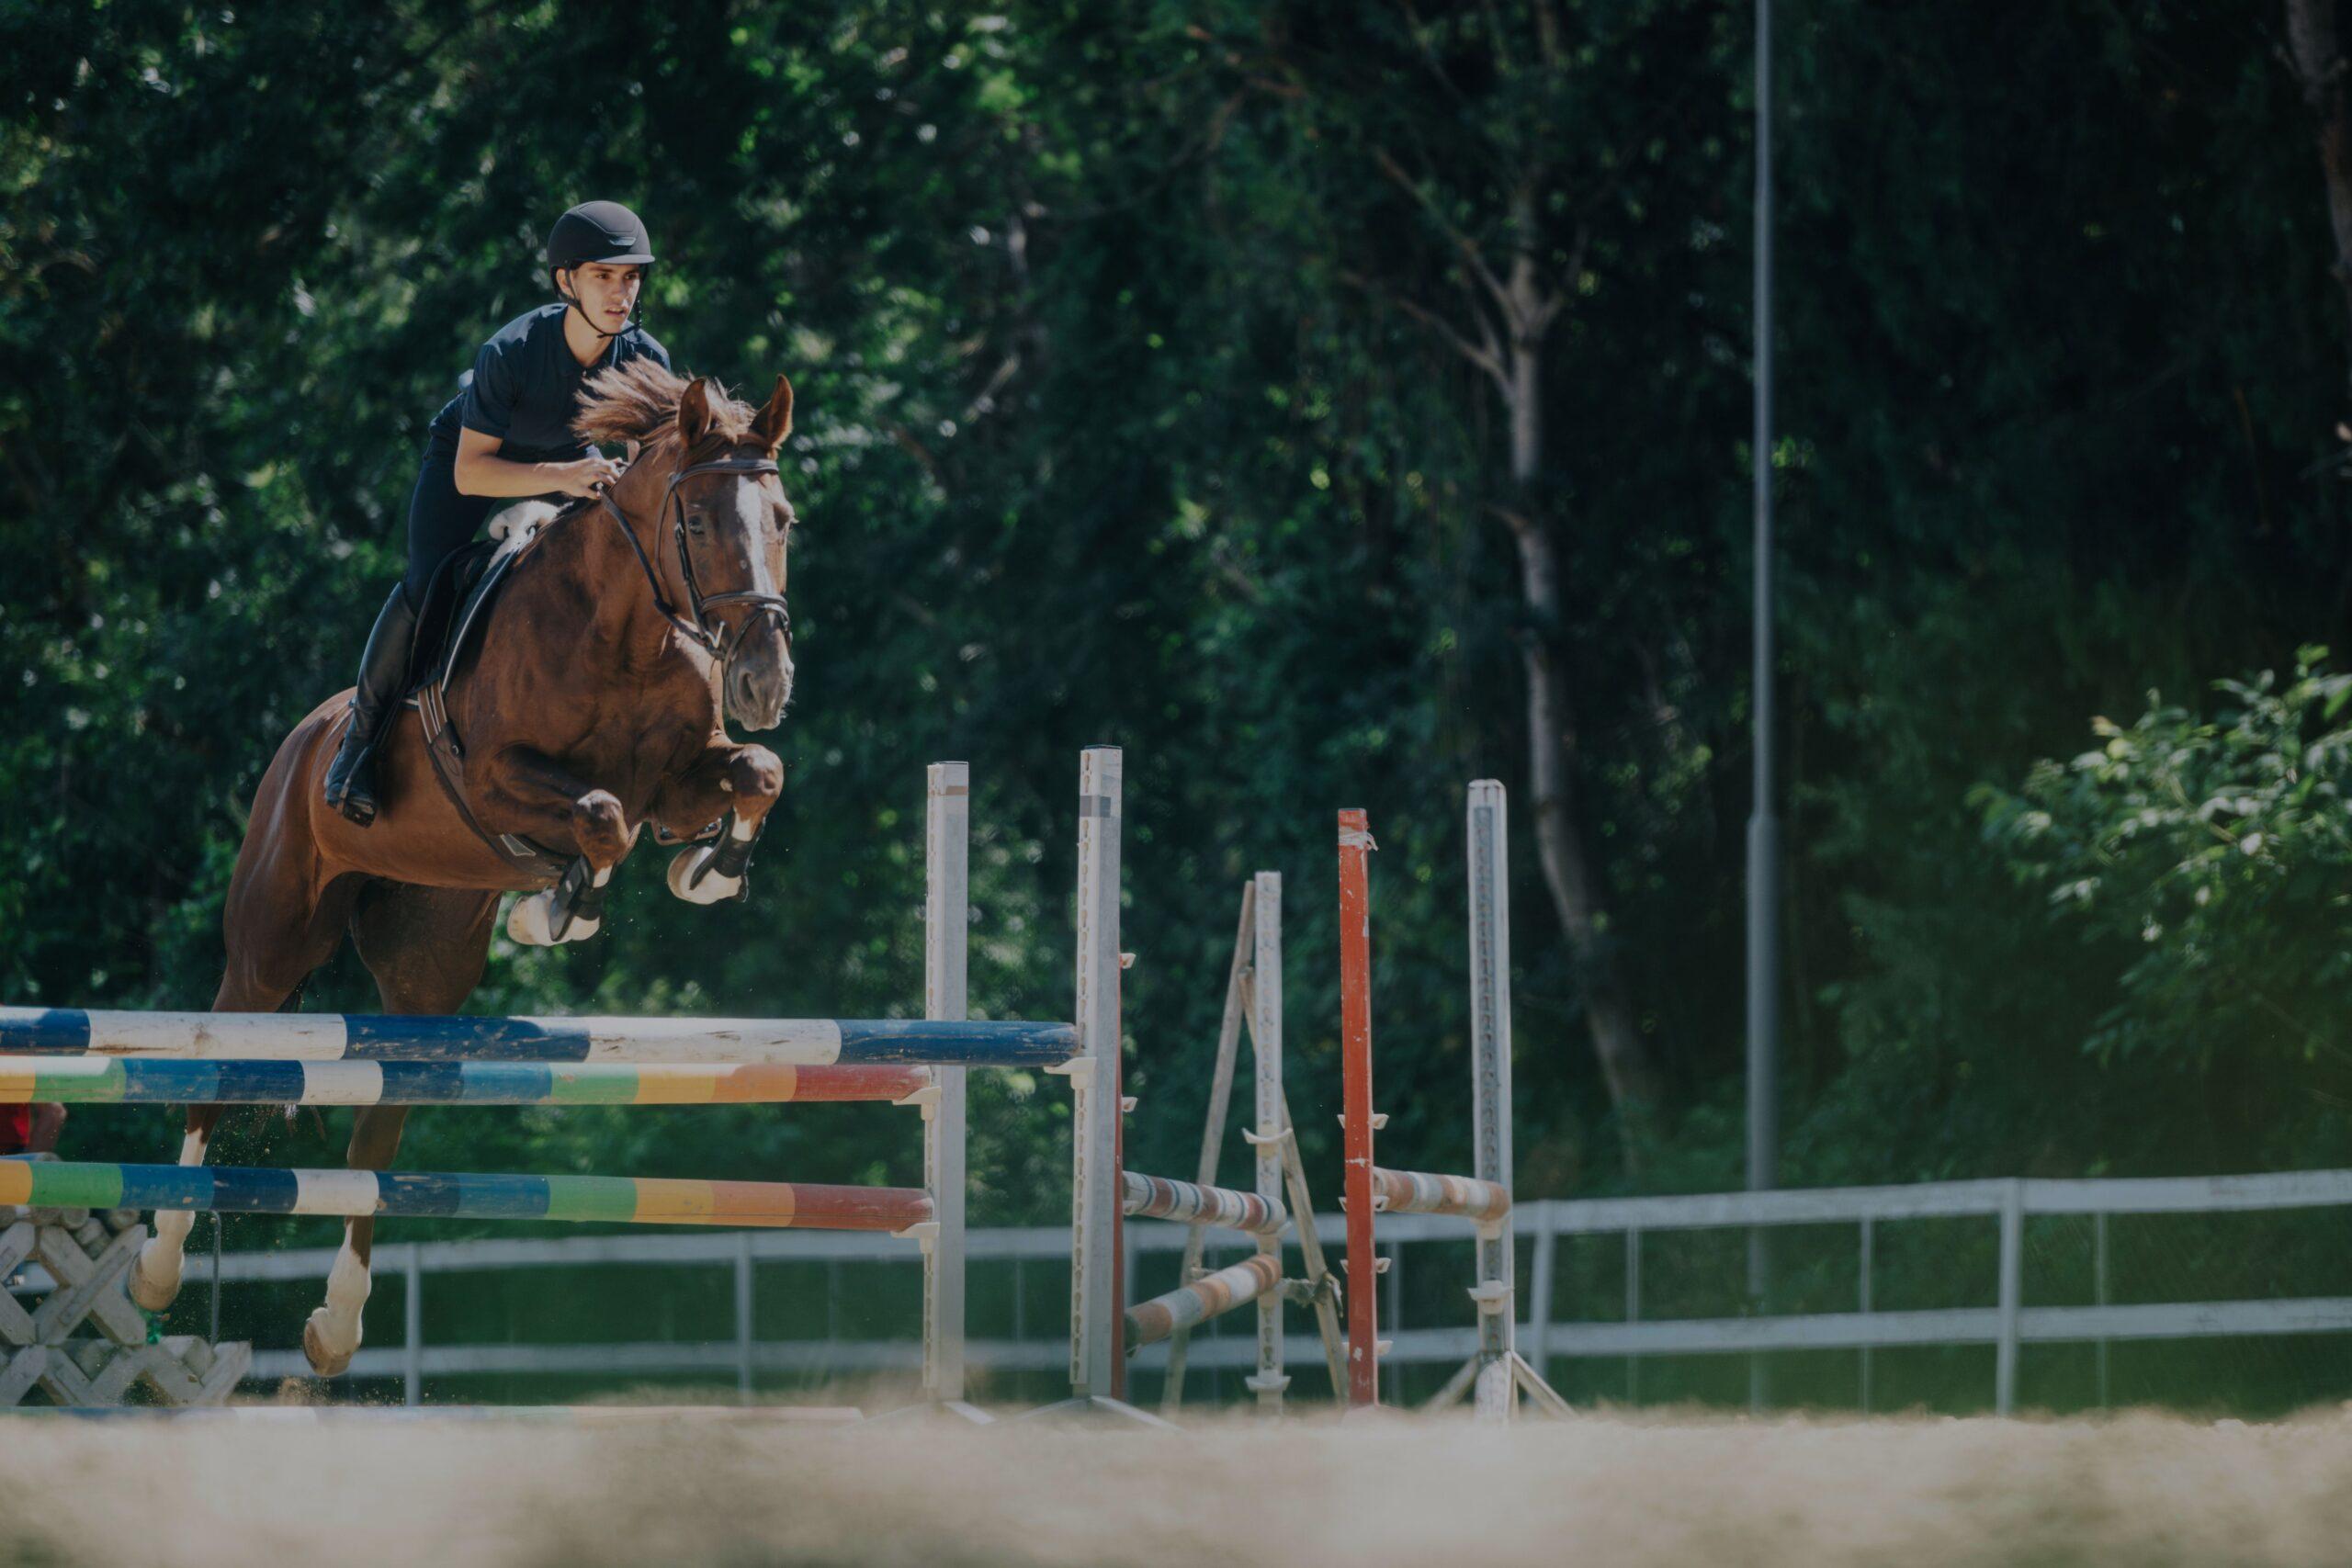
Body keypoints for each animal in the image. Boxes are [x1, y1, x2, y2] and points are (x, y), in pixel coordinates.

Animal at [129, 361, 800, 1376]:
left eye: (784, 519)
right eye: (694, 522)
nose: (765, 680)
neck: (627, 635)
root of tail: (300, 740)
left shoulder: (681, 782)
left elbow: (755, 771)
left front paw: (708, 870)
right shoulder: (497, 780)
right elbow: (600, 820)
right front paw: (555, 910)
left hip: (426, 972)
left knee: (374, 1136)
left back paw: (337, 1326)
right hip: (270, 943)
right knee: (217, 1070)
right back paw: (159, 1268)